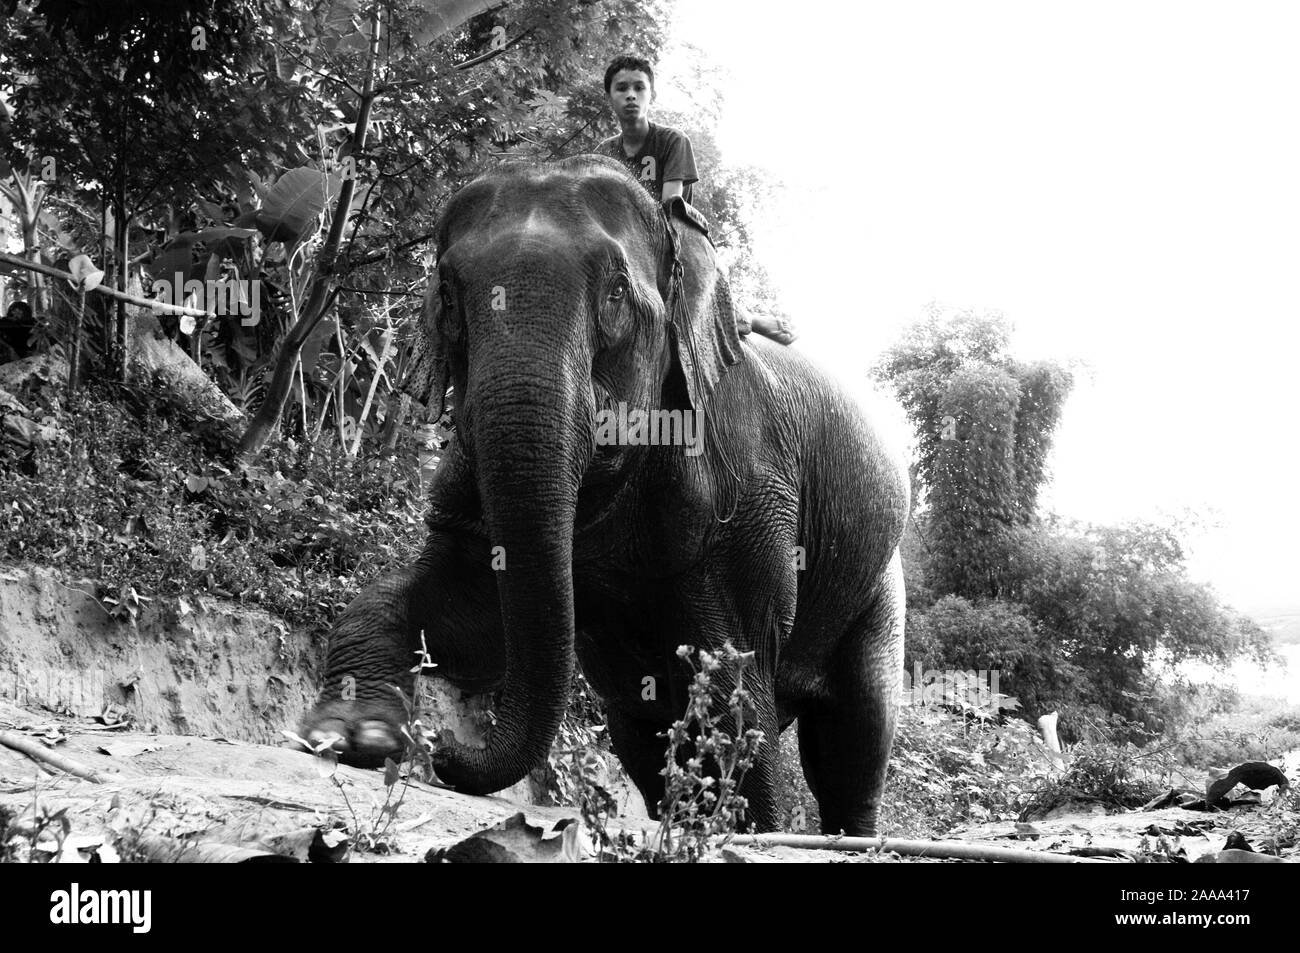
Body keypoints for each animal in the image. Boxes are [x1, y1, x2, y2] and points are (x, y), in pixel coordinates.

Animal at [297, 154, 909, 832]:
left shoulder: (750, 491)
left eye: (616, 293)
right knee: (643, 731)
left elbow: (735, 677)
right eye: (449, 297)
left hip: (881, 588)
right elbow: (464, 617)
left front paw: (747, 827)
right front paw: (351, 737)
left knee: (856, 733)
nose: (437, 745)